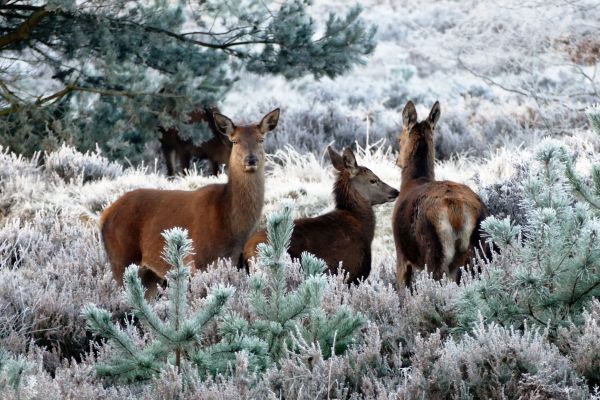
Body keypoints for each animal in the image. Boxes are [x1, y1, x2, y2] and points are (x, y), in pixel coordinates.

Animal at [101, 108, 282, 296]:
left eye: (261, 139)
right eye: (235, 141)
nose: (251, 160)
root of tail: (104, 215)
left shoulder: (235, 261)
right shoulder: (200, 260)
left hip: (150, 274)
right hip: (121, 258)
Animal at [392, 100, 490, 288]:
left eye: (399, 139)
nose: (397, 161)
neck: (412, 181)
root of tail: (457, 211)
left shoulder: (401, 253)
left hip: (435, 251)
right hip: (480, 250)